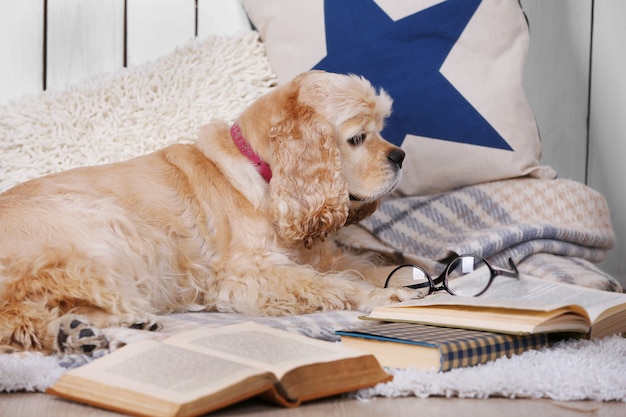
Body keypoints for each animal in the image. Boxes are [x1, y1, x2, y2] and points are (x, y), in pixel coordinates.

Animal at [2, 70, 416, 354]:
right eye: (358, 138)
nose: (400, 156)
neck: (262, 174)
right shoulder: (249, 275)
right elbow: (330, 285)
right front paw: (382, 299)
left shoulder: (317, 255)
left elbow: (365, 267)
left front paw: (403, 279)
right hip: (107, 231)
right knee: (21, 317)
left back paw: (89, 330)